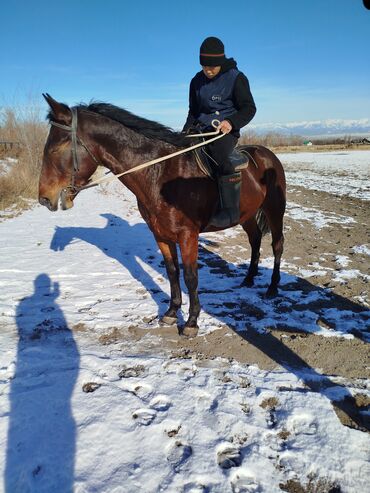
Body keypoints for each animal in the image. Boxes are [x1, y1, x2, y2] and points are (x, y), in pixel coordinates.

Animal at [38, 94, 286, 336]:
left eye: (55, 149)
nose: (44, 198)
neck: (160, 174)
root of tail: (267, 154)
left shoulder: (188, 235)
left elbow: (190, 277)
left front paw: (192, 322)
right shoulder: (160, 234)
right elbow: (172, 271)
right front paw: (171, 312)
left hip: (275, 210)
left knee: (277, 245)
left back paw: (272, 288)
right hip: (247, 215)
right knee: (255, 239)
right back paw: (249, 278)